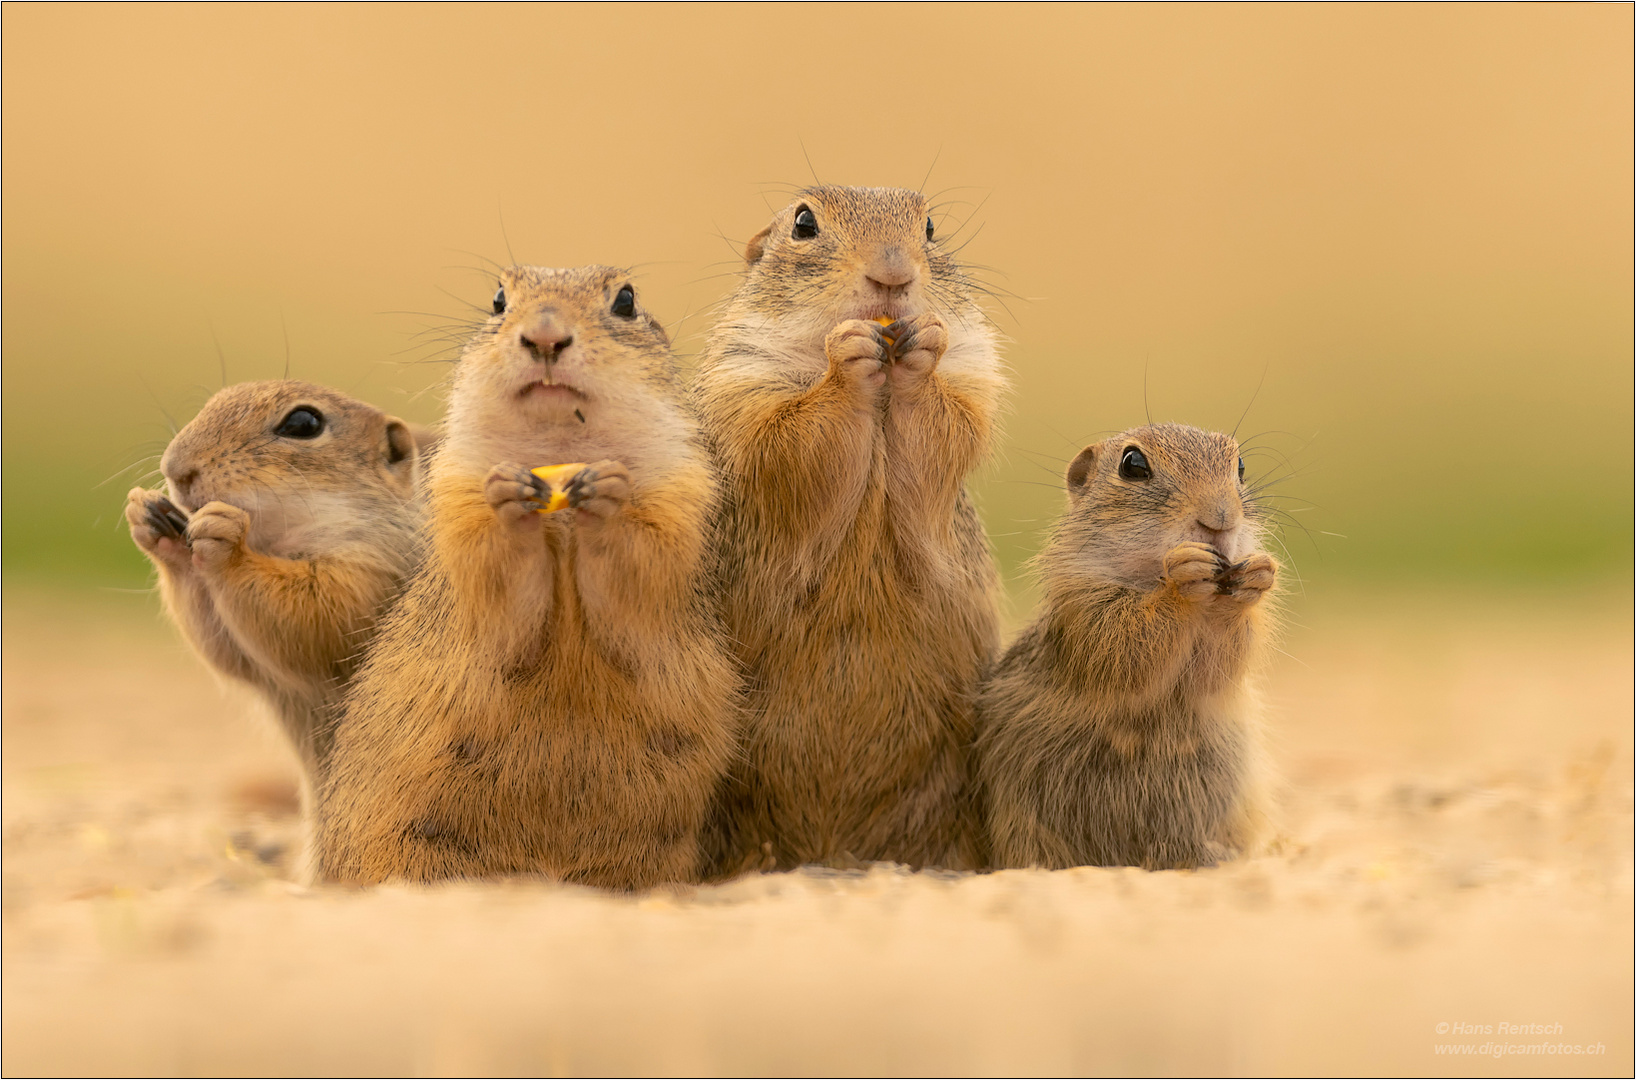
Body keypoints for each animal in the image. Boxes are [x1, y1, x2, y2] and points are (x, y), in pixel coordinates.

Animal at [123, 386, 425, 828]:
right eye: (214, 401)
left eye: (303, 423)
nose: (175, 469)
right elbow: (228, 652)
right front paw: (147, 516)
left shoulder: (367, 576)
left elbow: (311, 619)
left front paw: (226, 540)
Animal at [312, 268, 736, 883]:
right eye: (498, 300)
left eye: (626, 300)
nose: (546, 338)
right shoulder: (458, 495)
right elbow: (495, 571)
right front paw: (510, 496)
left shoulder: (679, 494)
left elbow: (643, 561)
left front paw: (608, 492)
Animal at [693, 187, 1001, 877]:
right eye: (804, 222)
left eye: (930, 227)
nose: (893, 274)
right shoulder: (745, 383)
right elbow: (795, 436)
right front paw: (847, 356)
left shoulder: (973, 382)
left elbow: (947, 425)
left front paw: (924, 348)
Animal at [968, 422, 1276, 870]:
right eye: (1133, 464)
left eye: (1239, 466)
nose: (1220, 520)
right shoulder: (1086, 610)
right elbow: (1129, 644)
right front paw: (1184, 575)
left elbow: (1215, 670)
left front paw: (1258, 573)